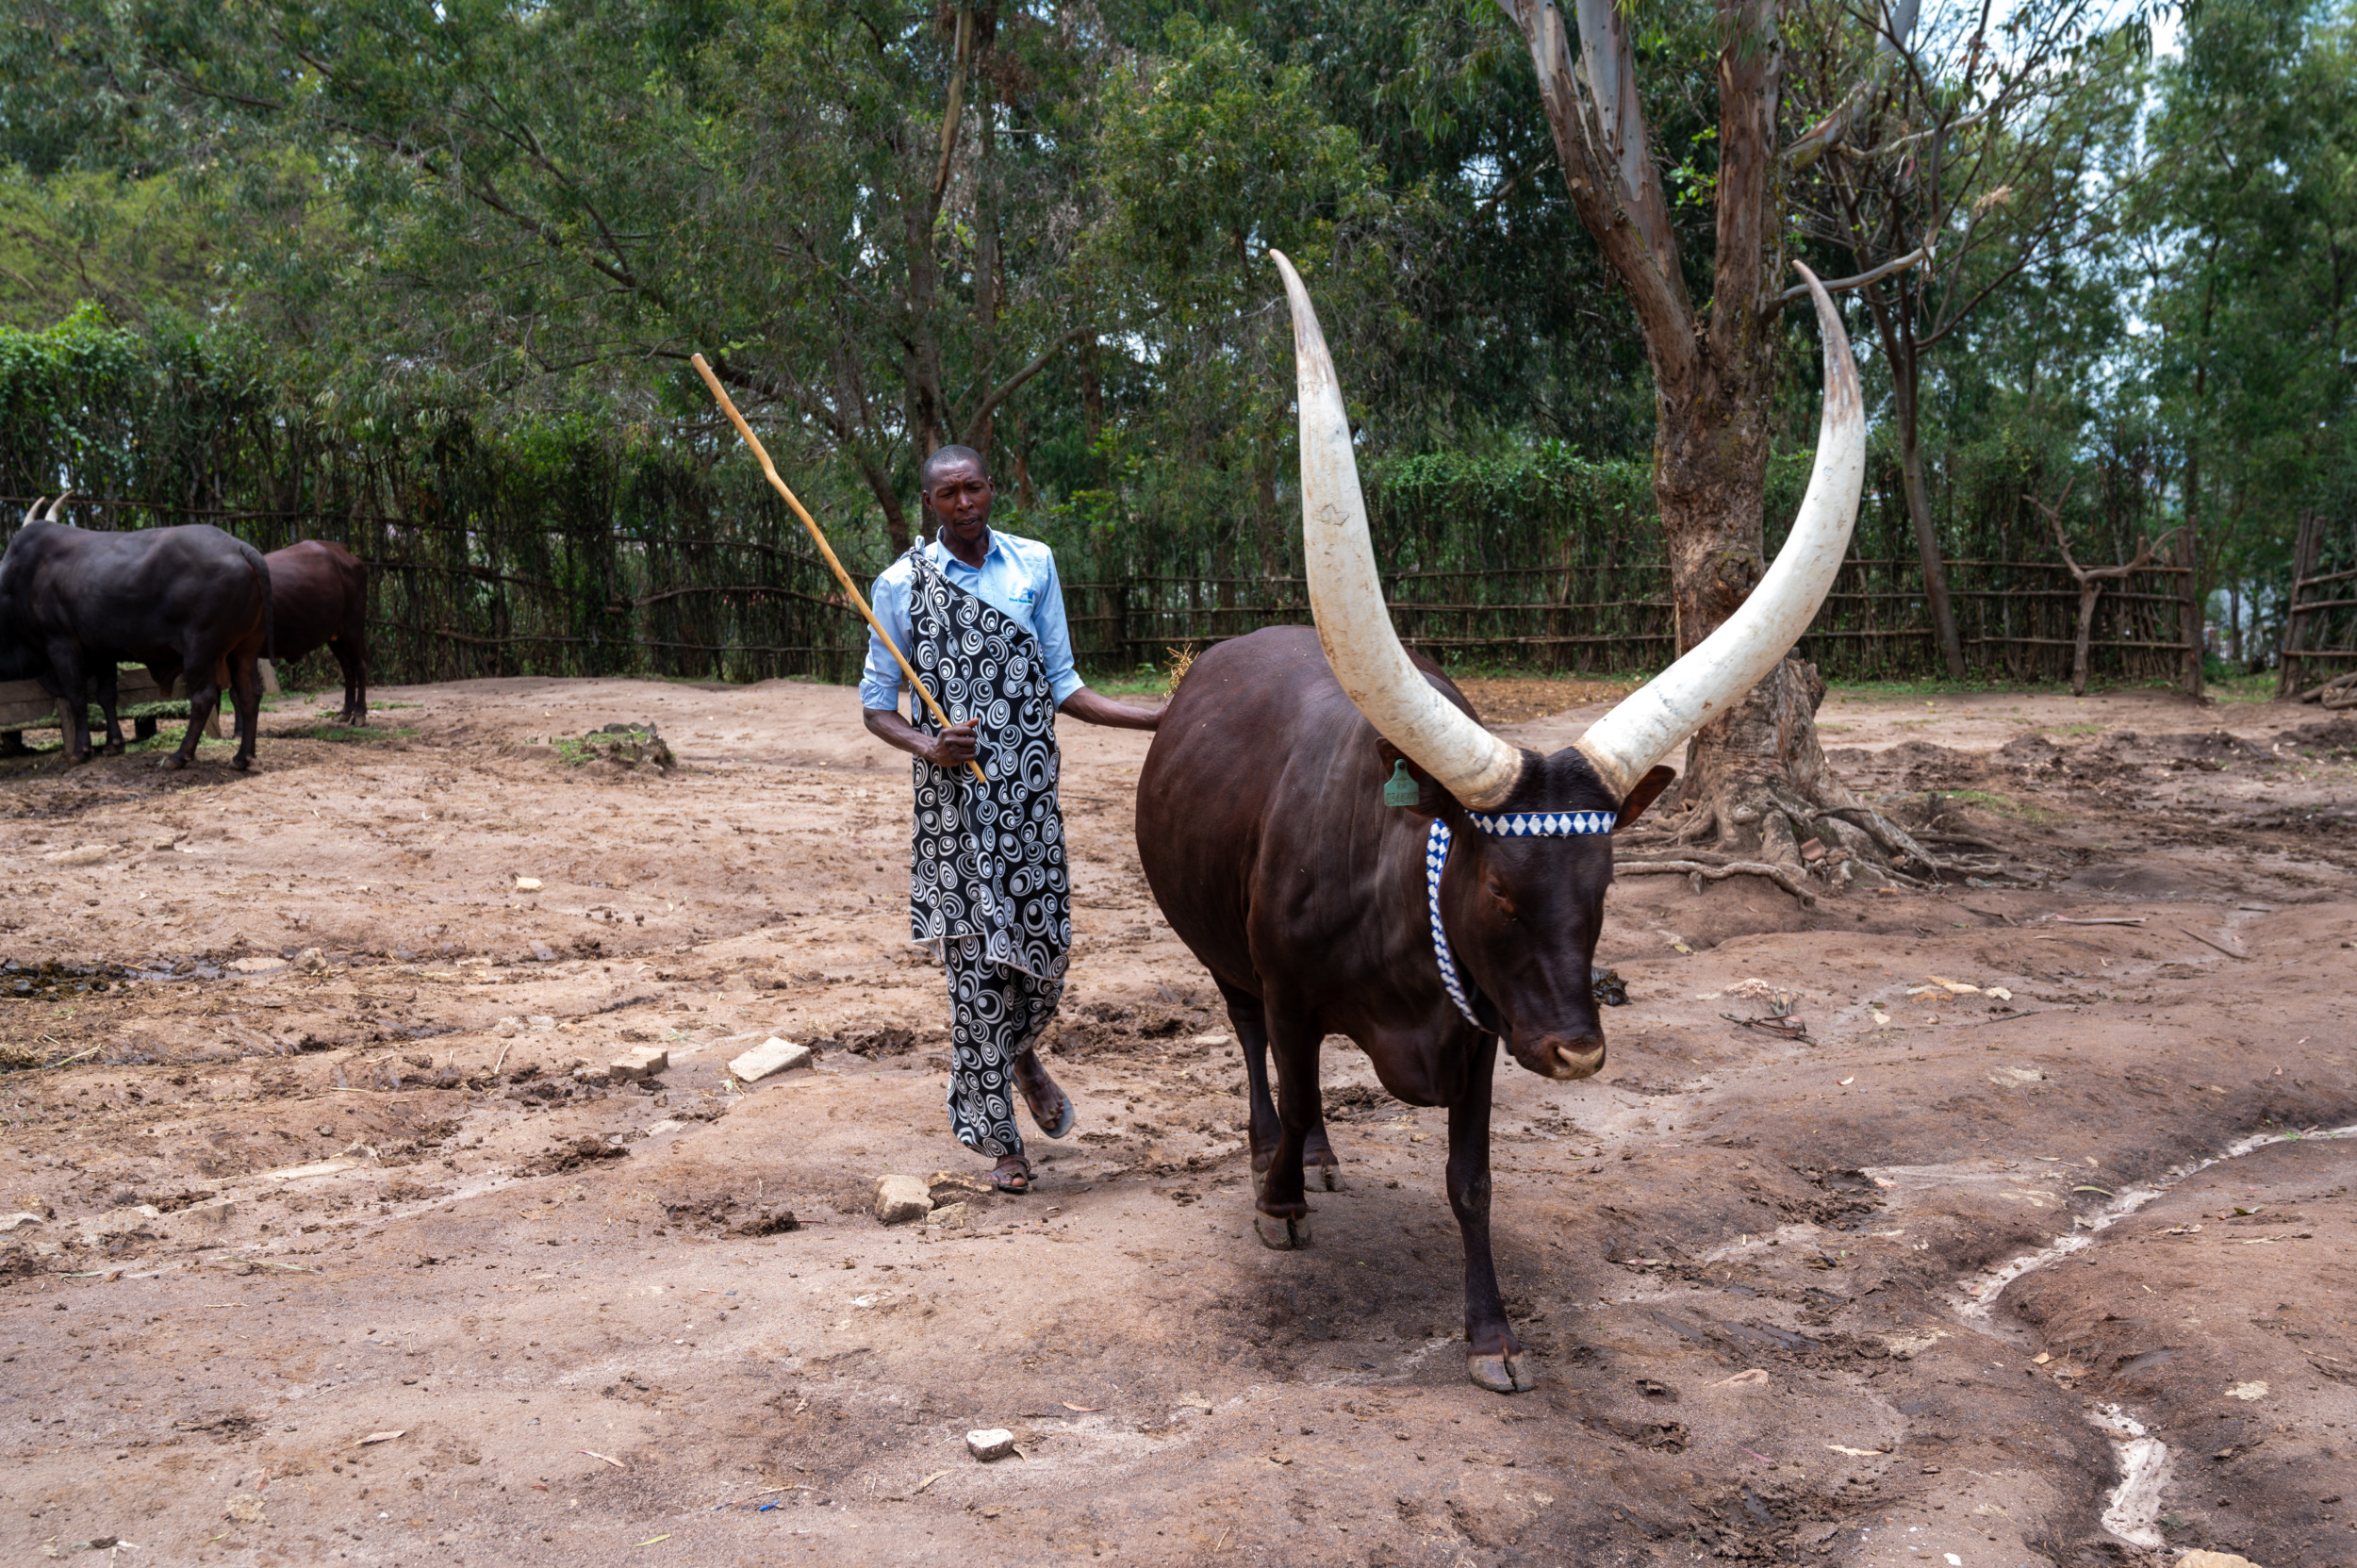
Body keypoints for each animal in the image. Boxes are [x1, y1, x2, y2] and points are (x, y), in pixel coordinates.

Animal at [265, 542, 370, 726]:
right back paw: (345, 711)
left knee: (360, 664)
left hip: (353, 627)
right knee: (347, 667)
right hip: (336, 636)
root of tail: (345, 551)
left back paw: (359, 713)